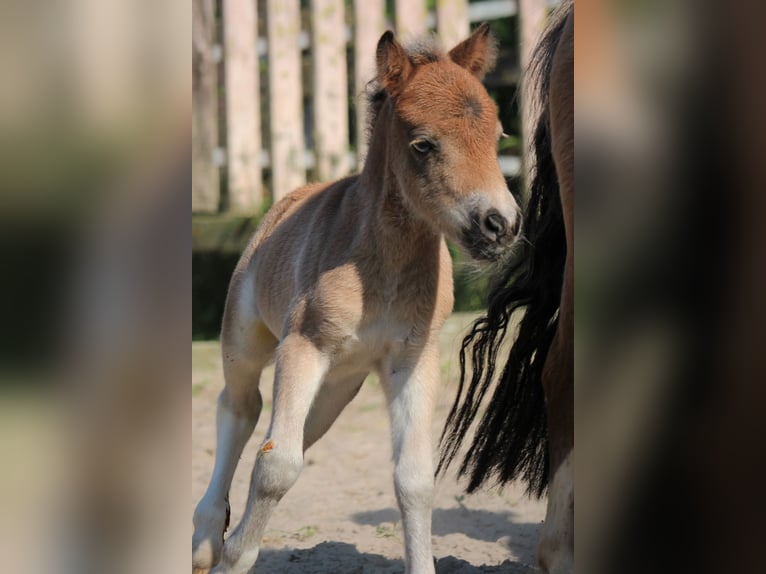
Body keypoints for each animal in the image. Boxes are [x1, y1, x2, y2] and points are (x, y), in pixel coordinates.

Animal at [195, 23, 524, 574]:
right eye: (422, 144)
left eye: (497, 137)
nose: (499, 225)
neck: (384, 272)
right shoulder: (303, 345)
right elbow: (277, 465)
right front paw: (235, 558)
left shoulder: (413, 359)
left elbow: (414, 479)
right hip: (247, 341)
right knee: (239, 410)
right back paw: (205, 537)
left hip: (338, 387)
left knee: (290, 434)